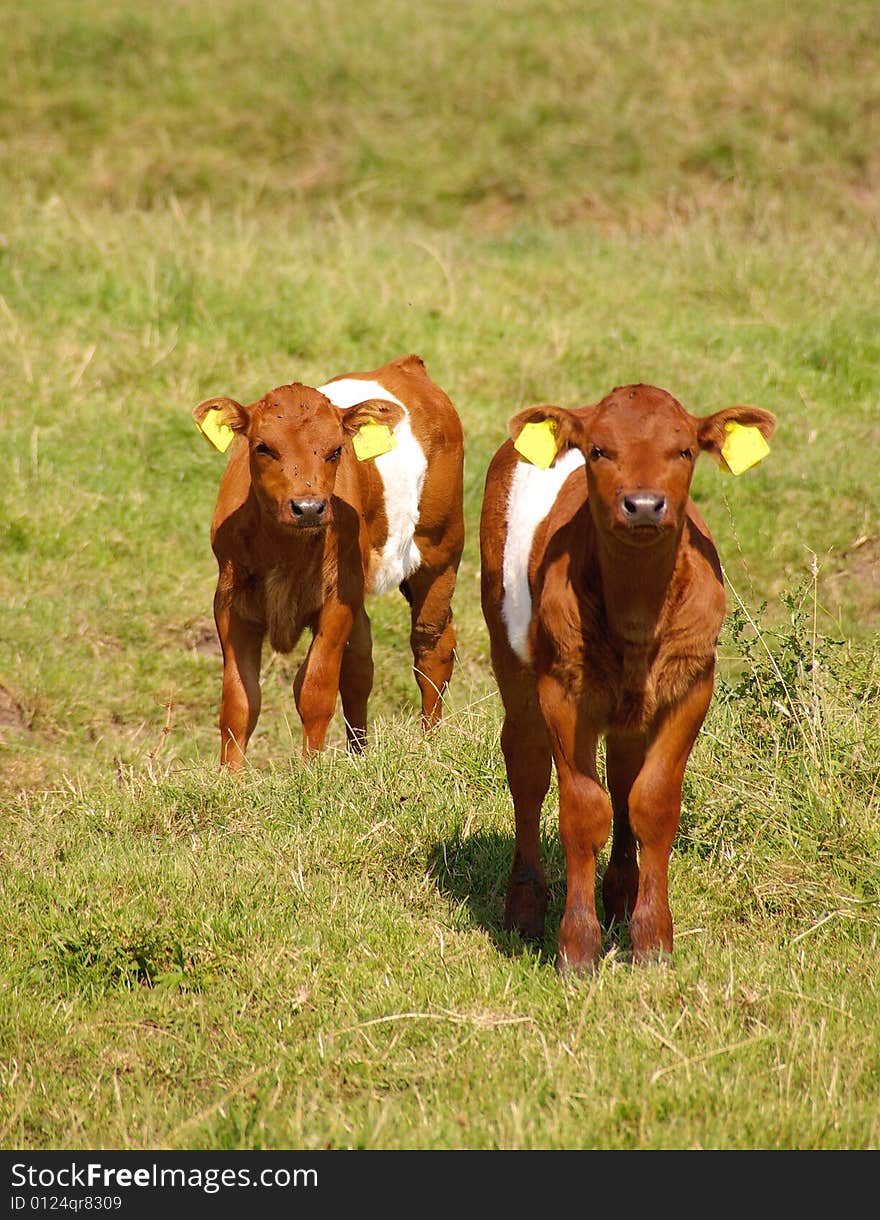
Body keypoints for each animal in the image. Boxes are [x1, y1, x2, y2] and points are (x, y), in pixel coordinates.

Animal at [194, 353, 466, 766]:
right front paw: (230, 775)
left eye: (336, 450)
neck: (284, 552)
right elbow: (239, 703)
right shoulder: (230, 602)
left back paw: (429, 743)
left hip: (441, 550)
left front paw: (310, 770)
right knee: (360, 665)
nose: (308, 507)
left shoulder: (337, 600)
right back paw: (358, 754)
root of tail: (404, 365)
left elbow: (315, 689)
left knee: (430, 646)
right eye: (262, 447)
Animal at [476, 385, 771, 976]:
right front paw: (577, 947)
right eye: (598, 450)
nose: (644, 504)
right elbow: (581, 810)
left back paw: (621, 894)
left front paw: (653, 939)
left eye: (684, 450)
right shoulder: (562, 692)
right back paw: (525, 907)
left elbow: (650, 802)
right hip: (509, 650)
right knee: (526, 767)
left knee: (623, 776)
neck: (637, 621)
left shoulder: (692, 686)